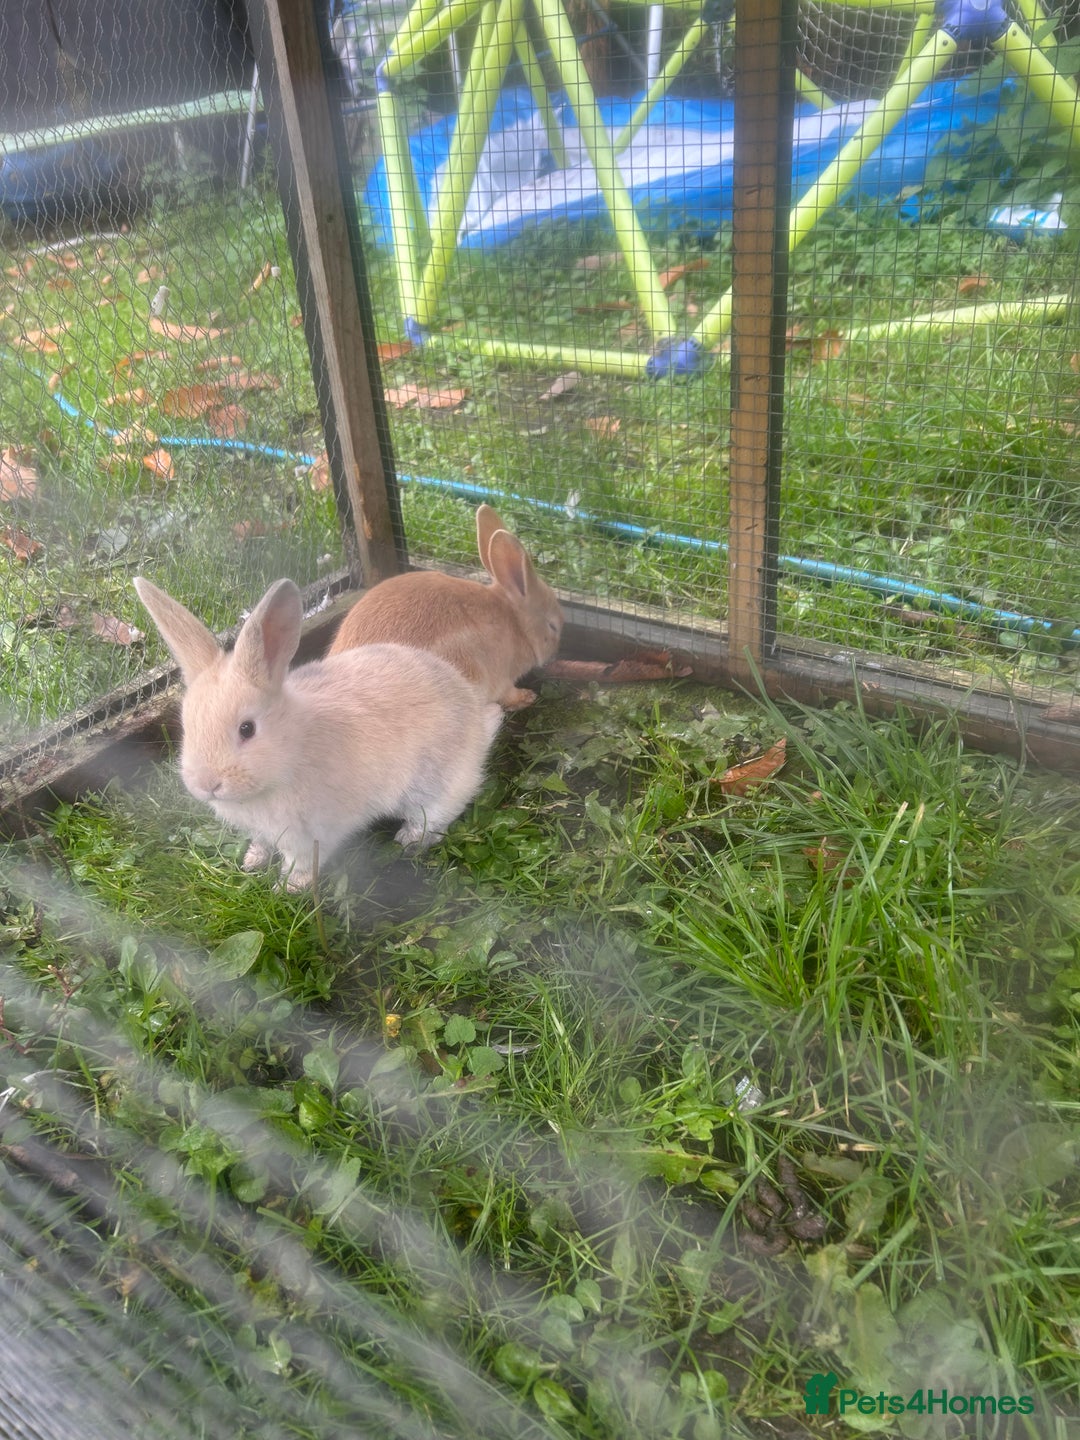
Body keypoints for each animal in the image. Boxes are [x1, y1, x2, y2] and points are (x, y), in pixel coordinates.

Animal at [133, 576, 503, 890]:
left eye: (247, 729)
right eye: (186, 725)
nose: (206, 784)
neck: (292, 751)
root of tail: (477, 718)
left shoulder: (310, 835)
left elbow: (302, 863)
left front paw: (288, 887)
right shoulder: (265, 831)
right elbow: (262, 844)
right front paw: (252, 861)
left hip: (434, 785)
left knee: (439, 814)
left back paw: (409, 839)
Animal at [328, 503, 563, 710]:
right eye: (552, 626)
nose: (554, 654)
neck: (516, 623)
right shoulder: (501, 677)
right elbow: (507, 691)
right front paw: (525, 697)